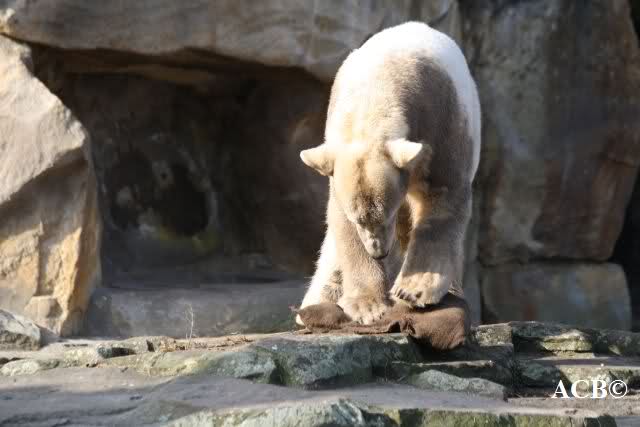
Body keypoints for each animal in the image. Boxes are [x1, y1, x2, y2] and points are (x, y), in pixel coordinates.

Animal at [297, 22, 481, 325]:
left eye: (389, 214)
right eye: (360, 220)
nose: (379, 252)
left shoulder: (439, 116)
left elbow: (442, 193)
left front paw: (414, 289)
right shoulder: (336, 155)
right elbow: (340, 222)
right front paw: (367, 306)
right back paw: (317, 303)